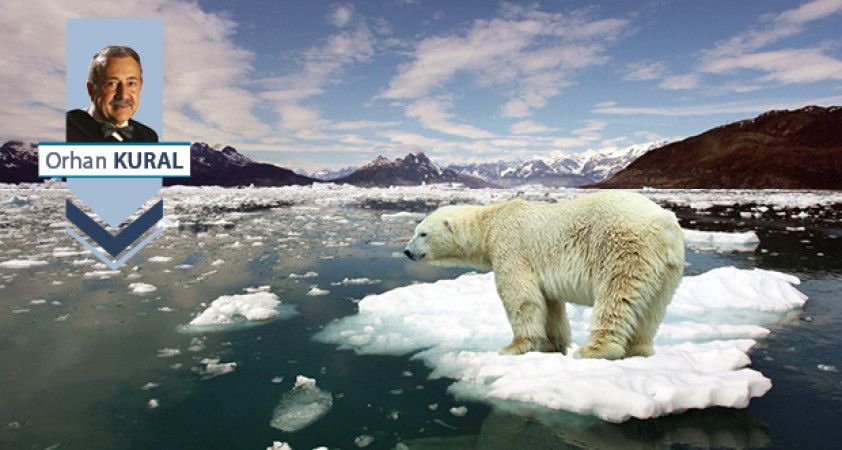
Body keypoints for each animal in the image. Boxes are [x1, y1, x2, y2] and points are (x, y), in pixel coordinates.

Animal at [400, 192, 684, 360]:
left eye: (422, 233)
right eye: (415, 231)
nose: (406, 251)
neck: (489, 223)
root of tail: (665, 226)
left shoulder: (511, 247)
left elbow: (521, 297)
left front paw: (514, 347)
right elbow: (550, 304)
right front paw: (553, 345)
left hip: (623, 249)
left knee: (616, 297)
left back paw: (594, 350)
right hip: (667, 270)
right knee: (652, 309)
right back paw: (639, 349)